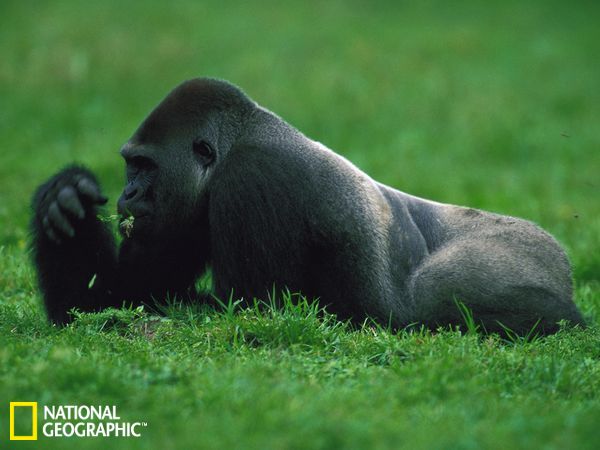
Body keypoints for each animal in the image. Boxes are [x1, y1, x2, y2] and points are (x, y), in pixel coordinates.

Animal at [29, 79, 584, 336]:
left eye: (144, 166)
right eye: (130, 166)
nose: (129, 196)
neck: (239, 138)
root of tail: (565, 268)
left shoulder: (251, 179)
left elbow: (247, 314)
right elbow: (117, 296)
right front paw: (63, 201)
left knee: (440, 303)